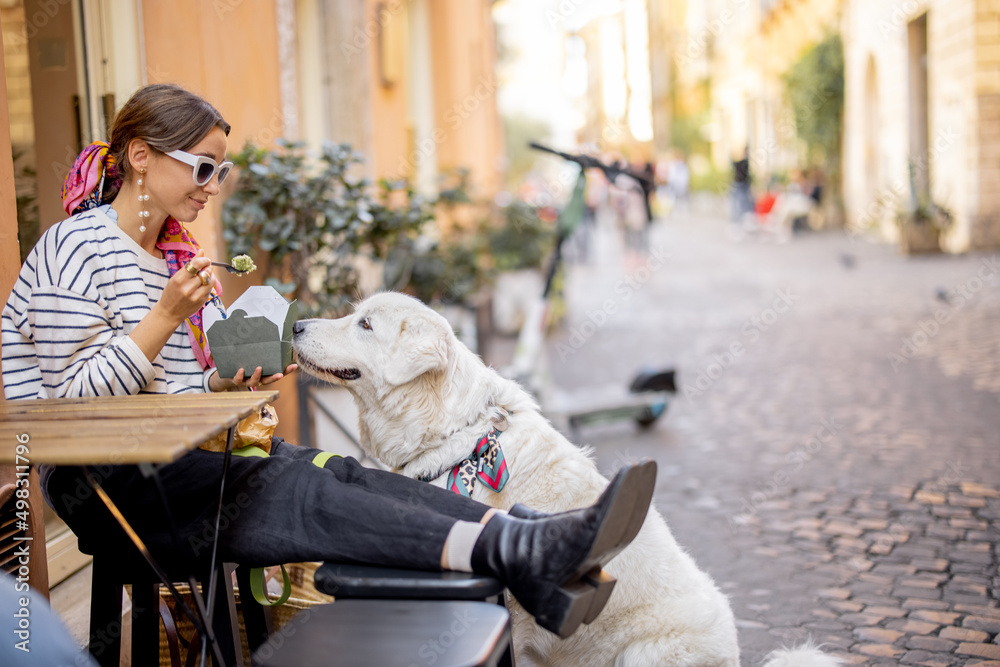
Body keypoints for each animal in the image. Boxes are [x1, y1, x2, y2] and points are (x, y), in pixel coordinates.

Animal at [292, 294, 840, 667]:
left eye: (365, 324)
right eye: (354, 315)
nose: (295, 324)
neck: (459, 437)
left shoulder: (511, 615)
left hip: (645, 654)